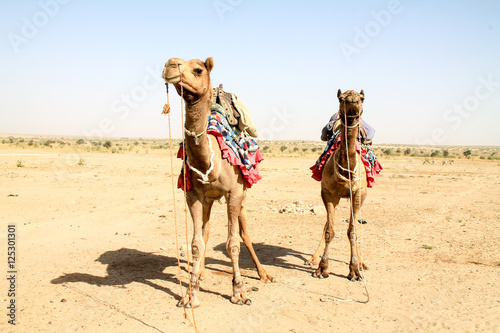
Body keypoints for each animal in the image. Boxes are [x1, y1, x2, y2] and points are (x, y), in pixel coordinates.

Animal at [162, 56, 274, 306]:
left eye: (198, 70)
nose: (170, 65)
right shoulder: (193, 195)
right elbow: (196, 243)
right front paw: (191, 295)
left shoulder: (234, 193)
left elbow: (233, 243)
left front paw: (239, 292)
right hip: (209, 200)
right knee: (206, 231)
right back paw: (201, 272)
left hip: (242, 195)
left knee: (244, 234)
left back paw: (264, 274)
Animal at [310, 89, 370, 280]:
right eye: (341, 98)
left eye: (361, 98)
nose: (352, 101)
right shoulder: (328, 194)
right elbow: (329, 230)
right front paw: (322, 268)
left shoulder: (358, 195)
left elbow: (352, 231)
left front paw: (355, 270)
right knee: (326, 226)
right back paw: (313, 258)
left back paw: (362, 263)